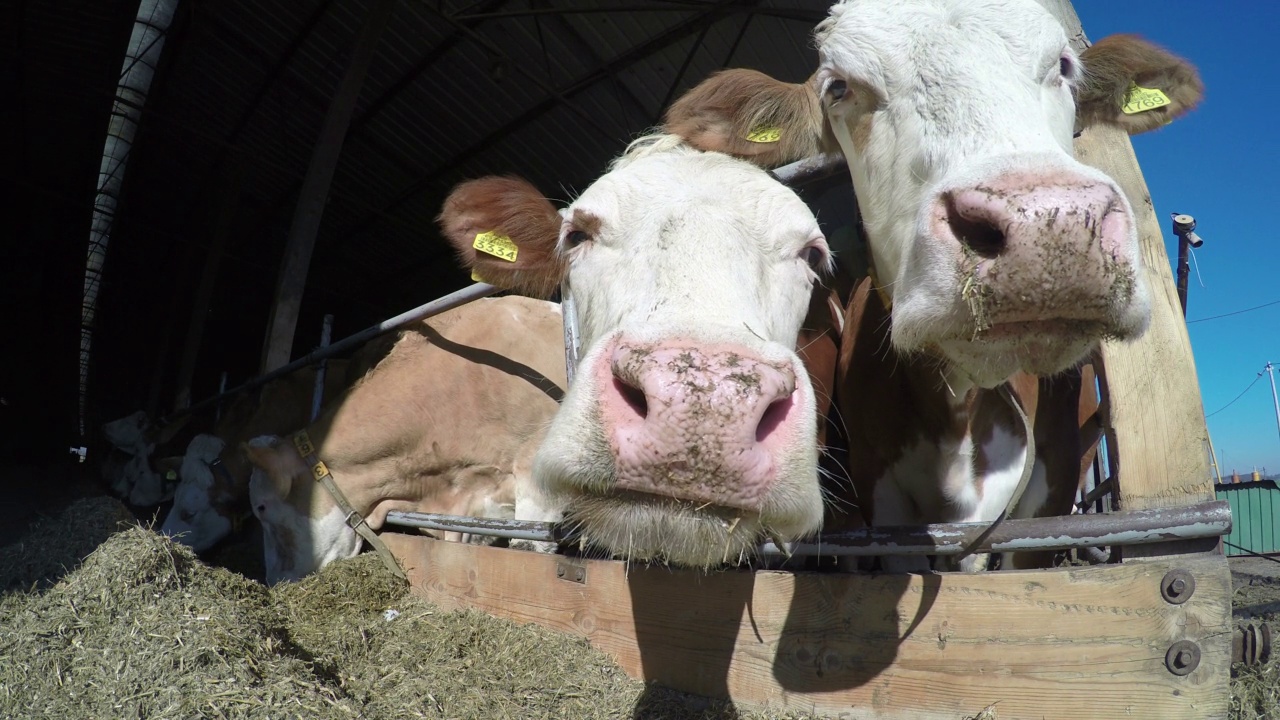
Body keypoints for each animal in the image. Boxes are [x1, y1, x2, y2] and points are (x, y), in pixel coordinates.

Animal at [660, 1, 1198, 571]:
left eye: (1064, 66)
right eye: (838, 87)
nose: (1049, 226)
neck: (956, 401)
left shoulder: (1042, 499)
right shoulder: (882, 504)